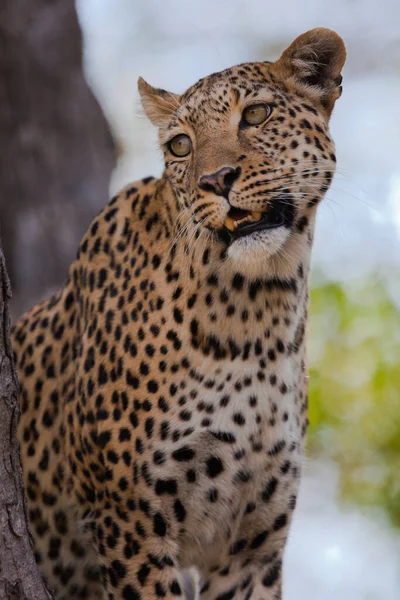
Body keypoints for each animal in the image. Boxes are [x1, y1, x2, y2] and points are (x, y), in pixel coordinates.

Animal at [11, 27, 344, 600]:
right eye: (180, 146)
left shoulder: (253, 547)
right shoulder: (129, 521)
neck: (259, 310)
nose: (217, 179)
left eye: (256, 115)